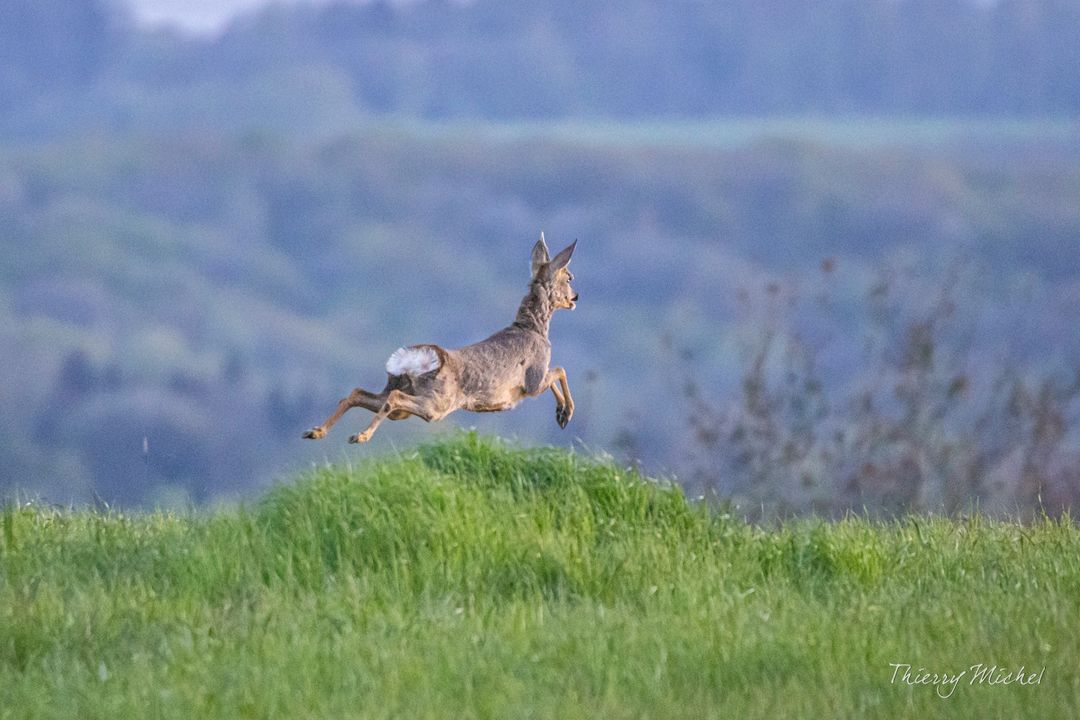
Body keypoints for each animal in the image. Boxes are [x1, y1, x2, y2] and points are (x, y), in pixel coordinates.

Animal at [300, 234, 578, 442]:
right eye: (569, 277)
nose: (575, 297)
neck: (533, 328)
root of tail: (411, 359)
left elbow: (557, 374)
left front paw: (561, 413)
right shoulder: (532, 380)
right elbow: (559, 370)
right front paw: (566, 413)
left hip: (402, 394)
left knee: (358, 394)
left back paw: (316, 431)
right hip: (437, 402)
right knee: (393, 399)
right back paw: (360, 436)